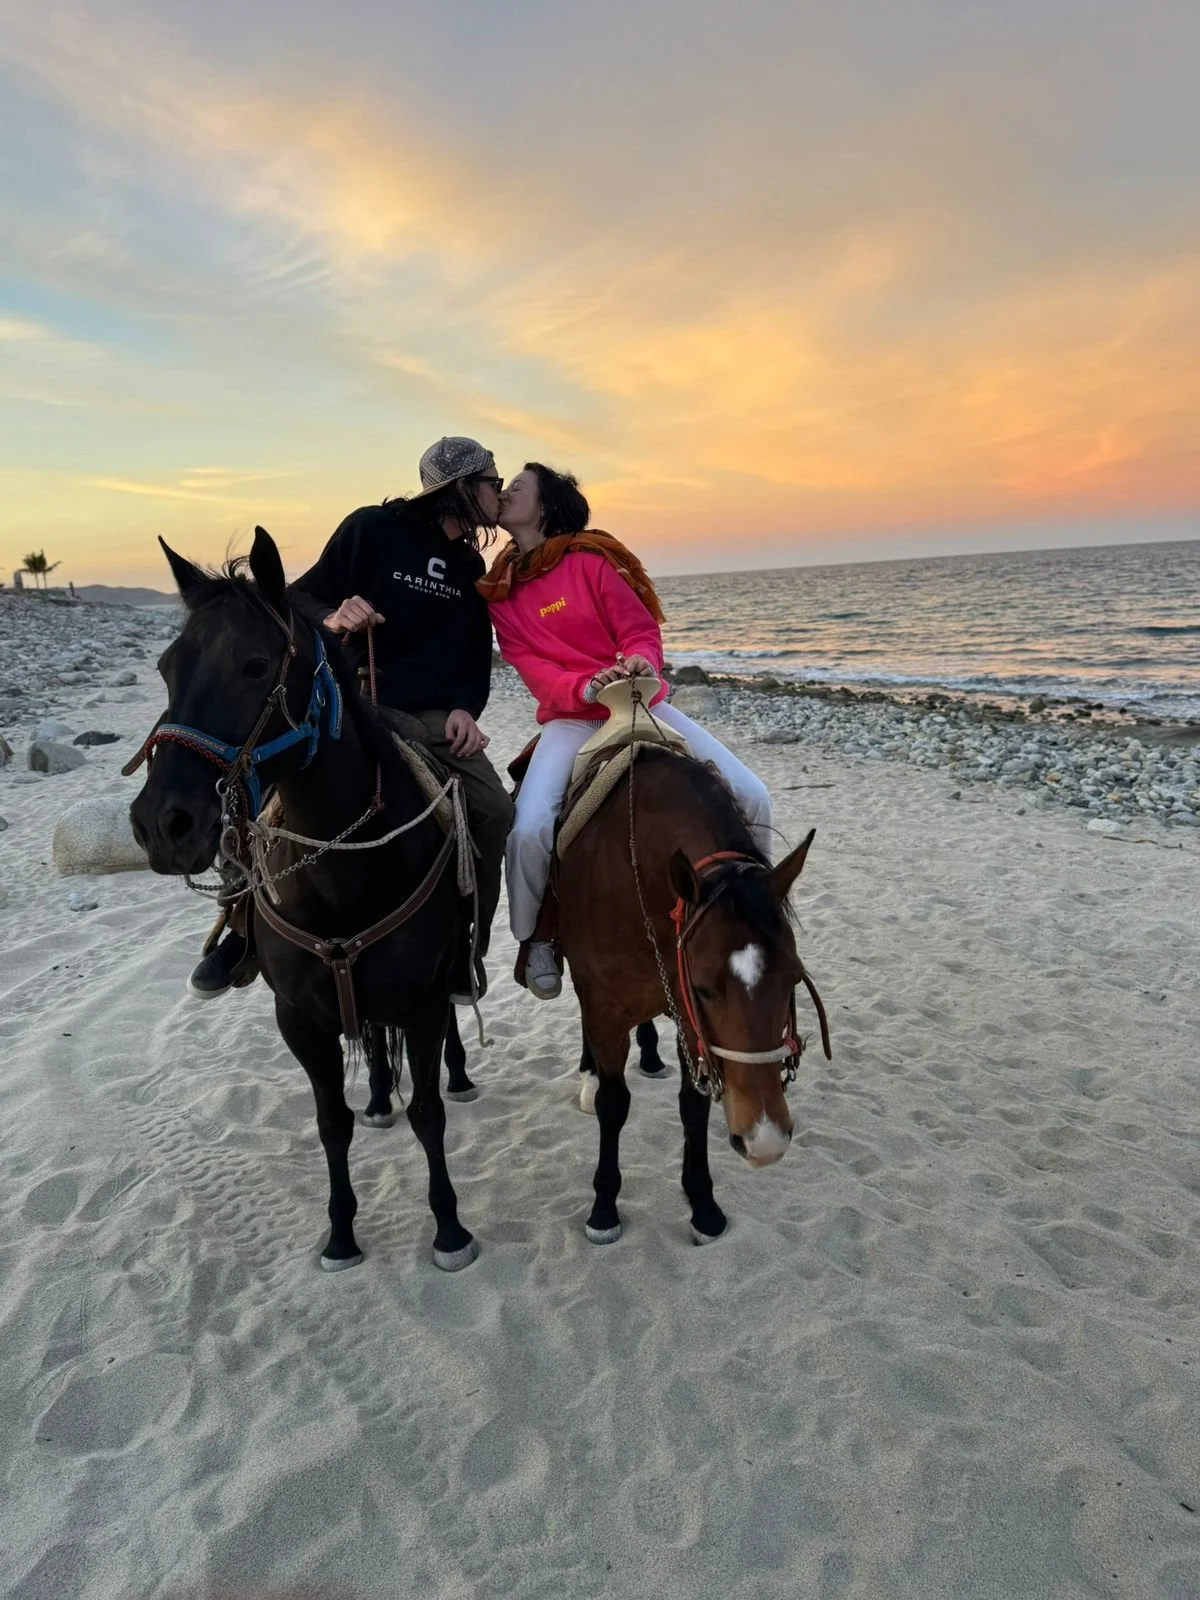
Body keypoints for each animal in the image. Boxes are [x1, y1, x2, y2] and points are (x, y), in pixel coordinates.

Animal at [129, 527, 478, 1273]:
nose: (160, 825)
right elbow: (330, 1121)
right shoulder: (298, 1017)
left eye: (256, 665)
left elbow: (429, 1112)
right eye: (167, 667)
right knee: (371, 1044)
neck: (343, 870)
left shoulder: (422, 1002)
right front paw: (341, 1233)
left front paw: (449, 1228)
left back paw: (458, 1074)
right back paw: (377, 1097)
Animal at [556, 745, 830, 1245]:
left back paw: (648, 1054)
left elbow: (694, 1105)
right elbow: (613, 1104)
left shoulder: (688, 1017)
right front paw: (604, 1208)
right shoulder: (609, 1009)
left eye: (794, 978)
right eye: (703, 985)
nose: (765, 1139)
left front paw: (703, 1205)